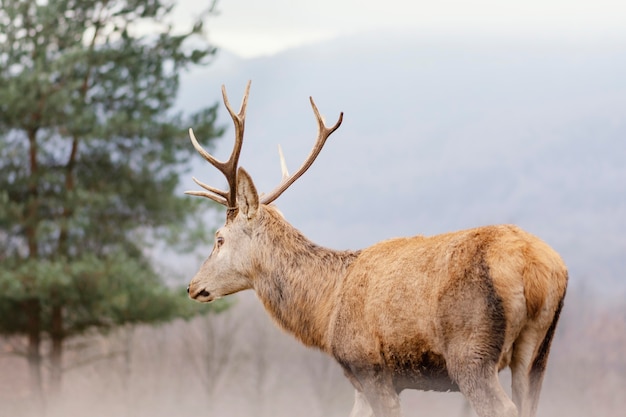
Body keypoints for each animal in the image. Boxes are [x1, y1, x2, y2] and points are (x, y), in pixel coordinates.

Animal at [184, 81, 564, 416]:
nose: (192, 286)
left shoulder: (368, 365)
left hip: (471, 350)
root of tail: (538, 269)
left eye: (219, 237)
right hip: (538, 352)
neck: (325, 313)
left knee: (502, 406)